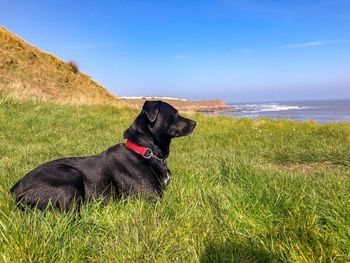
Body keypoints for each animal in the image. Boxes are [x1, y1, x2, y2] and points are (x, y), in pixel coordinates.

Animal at [10, 101, 196, 212]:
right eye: (174, 113)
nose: (195, 123)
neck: (144, 151)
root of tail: (14, 189)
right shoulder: (151, 197)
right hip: (68, 178)